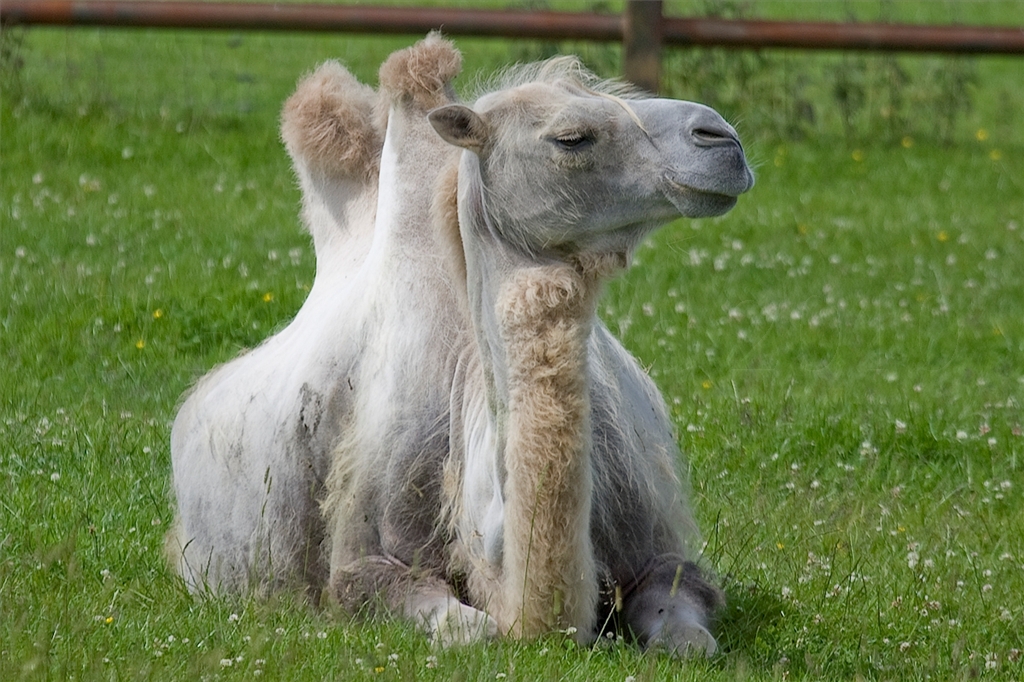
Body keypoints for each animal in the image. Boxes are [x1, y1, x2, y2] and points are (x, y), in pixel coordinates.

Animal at [167, 34, 753, 656]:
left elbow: (688, 637)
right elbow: (469, 630)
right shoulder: (363, 563)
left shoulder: (660, 552)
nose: (722, 138)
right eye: (571, 137)